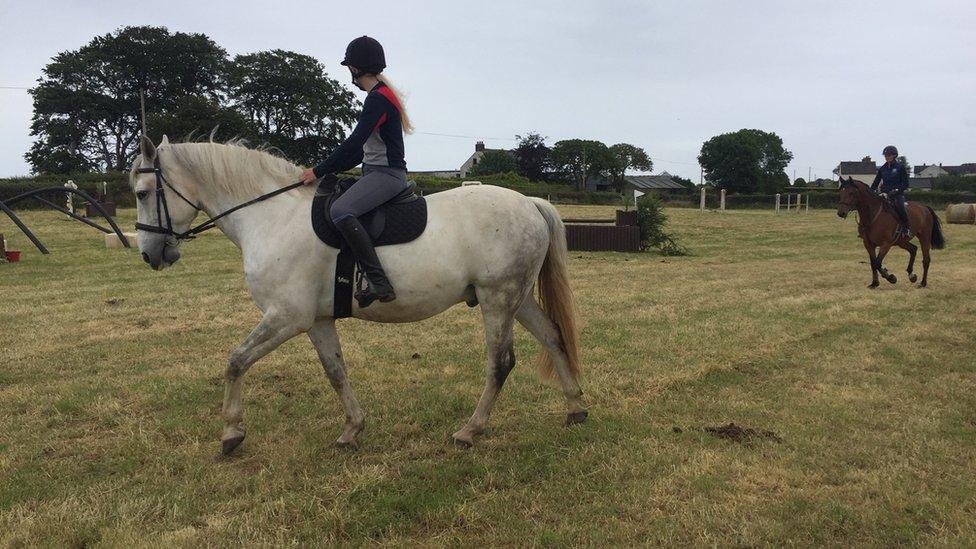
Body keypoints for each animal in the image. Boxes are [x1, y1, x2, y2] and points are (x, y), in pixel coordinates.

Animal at [132, 137, 588, 454]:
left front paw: (231, 433)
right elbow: (335, 371)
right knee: (552, 336)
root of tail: (529, 203)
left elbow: (236, 361)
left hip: (497, 299)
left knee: (501, 363)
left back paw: (469, 431)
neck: (272, 216)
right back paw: (575, 408)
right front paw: (352, 430)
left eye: (142, 193)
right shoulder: (316, 321)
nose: (151, 254)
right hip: (517, 299)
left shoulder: (287, 317)